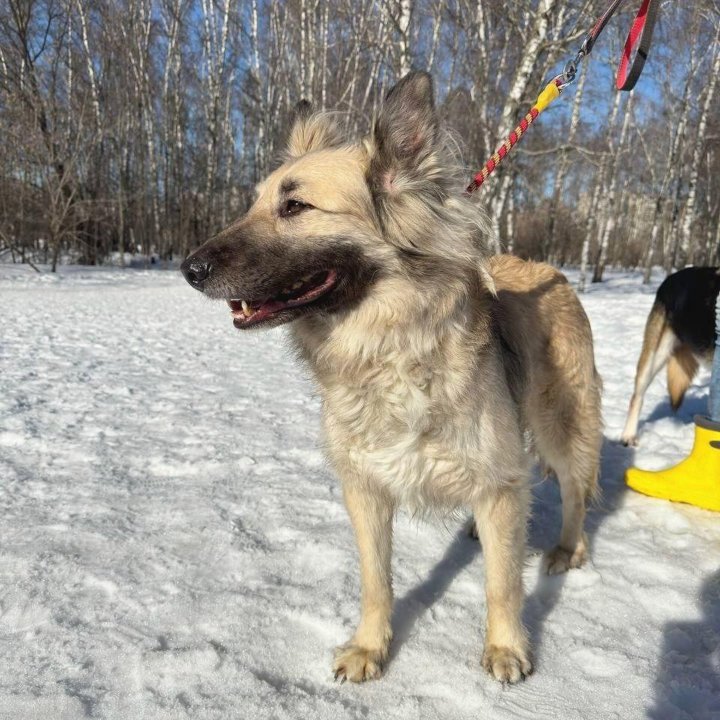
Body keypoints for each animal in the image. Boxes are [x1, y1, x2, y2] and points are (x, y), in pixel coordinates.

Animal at [180, 73, 600, 688]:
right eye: (254, 203)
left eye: (295, 206)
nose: (189, 270)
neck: (390, 349)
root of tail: (553, 272)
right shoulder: (365, 486)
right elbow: (375, 578)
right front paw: (370, 648)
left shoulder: (498, 484)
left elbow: (502, 583)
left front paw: (504, 647)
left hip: (561, 426)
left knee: (574, 491)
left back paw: (568, 550)